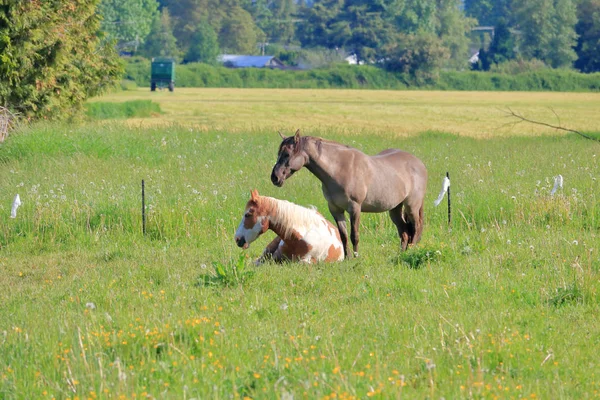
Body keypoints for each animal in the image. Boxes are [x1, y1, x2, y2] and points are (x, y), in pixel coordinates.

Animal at [272, 131, 426, 256]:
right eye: (278, 153)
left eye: (287, 154)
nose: (275, 177)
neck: (340, 169)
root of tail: (419, 163)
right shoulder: (335, 209)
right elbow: (343, 236)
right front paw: (347, 258)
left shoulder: (355, 208)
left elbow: (354, 235)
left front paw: (356, 257)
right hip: (395, 208)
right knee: (404, 231)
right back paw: (401, 253)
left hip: (411, 206)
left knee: (415, 228)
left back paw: (410, 251)